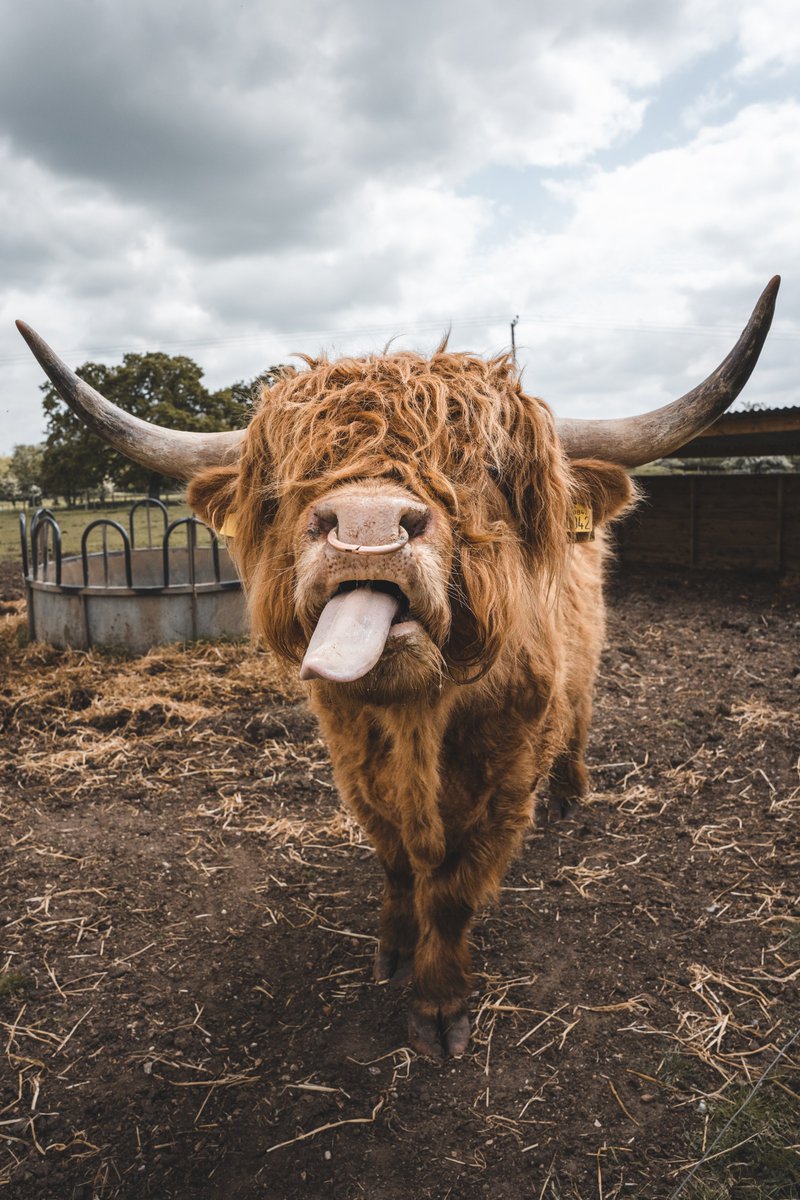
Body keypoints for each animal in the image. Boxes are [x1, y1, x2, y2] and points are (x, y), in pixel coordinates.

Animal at [17, 274, 782, 1060]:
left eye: (487, 468)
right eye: (288, 479)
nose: (366, 527)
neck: (418, 720)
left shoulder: (507, 788)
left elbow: (452, 891)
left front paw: (440, 1001)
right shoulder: (355, 768)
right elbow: (394, 863)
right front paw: (393, 947)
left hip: (585, 663)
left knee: (580, 715)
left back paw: (572, 794)